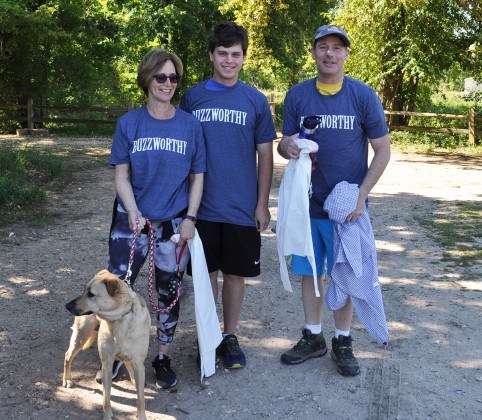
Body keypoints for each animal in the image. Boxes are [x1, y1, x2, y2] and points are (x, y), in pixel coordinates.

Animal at [64, 270, 150, 420]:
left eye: (91, 294)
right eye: (84, 289)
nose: (67, 306)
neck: (120, 319)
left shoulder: (139, 364)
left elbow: (140, 399)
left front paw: (141, 415)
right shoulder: (107, 364)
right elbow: (106, 398)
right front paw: (108, 415)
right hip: (80, 336)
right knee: (68, 356)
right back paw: (67, 380)